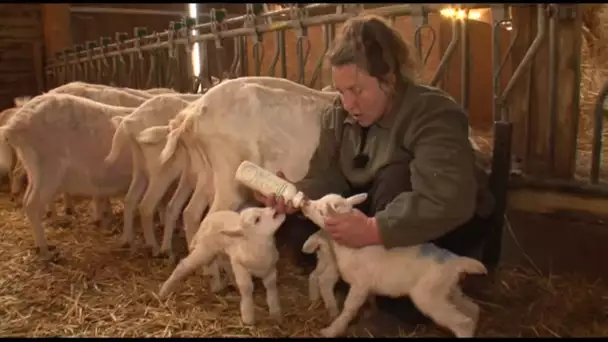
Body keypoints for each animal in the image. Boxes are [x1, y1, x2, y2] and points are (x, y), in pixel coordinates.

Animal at [0, 93, 134, 260]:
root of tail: (13, 126)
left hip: (34, 171)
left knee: (28, 200)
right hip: (49, 169)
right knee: (32, 205)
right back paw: (46, 252)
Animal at [302, 192, 486, 336]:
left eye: (321, 211)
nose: (305, 201)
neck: (347, 247)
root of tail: (457, 261)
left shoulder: (361, 284)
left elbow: (349, 307)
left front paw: (331, 330)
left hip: (429, 295)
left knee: (463, 322)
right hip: (448, 288)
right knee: (472, 308)